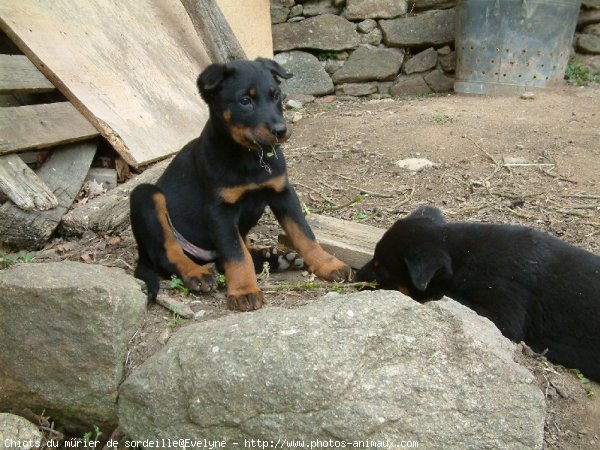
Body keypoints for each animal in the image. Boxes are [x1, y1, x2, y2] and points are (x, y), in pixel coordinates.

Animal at [130, 58, 352, 312]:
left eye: (276, 96)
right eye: (245, 101)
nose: (281, 130)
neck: (250, 157)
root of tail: (141, 255)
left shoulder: (283, 193)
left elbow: (305, 234)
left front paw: (329, 264)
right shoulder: (220, 210)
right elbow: (236, 254)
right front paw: (244, 291)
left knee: (229, 255)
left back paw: (277, 259)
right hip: (146, 195)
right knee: (169, 252)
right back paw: (197, 273)